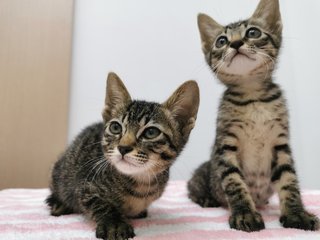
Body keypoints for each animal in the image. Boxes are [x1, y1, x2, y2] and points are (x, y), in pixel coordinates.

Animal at [46, 72, 199, 239]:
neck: (140, 182)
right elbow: (100, 203)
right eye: (115, 127)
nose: (123, 148)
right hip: (59, 171)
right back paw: (59, 204)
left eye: (151, 132)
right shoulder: (84, 187)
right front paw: (114, 224)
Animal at [188, 0, 318, 232]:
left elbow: (289, 180)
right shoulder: (225, 145)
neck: (253, 97)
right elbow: (234, 181)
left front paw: (296, 214)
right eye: (221, 41)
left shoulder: (280, 143)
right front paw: (245, 214)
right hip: (203, 173)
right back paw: (207, 199)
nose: (236, 43)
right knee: (193, 189)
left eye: (253, 32)